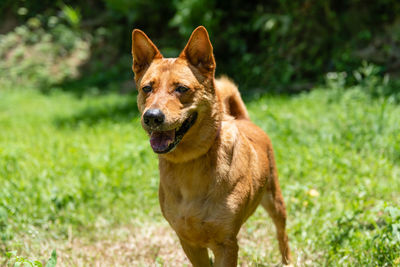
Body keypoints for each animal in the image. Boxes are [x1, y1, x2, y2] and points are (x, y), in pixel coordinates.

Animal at [131, 26, 290, 266]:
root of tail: (243, 119)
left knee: (282, 234)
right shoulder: (189, 242)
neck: (189, 162)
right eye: (147, 88)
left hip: (275, 200)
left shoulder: (226, 243)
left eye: (181, 88)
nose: (152, 116)